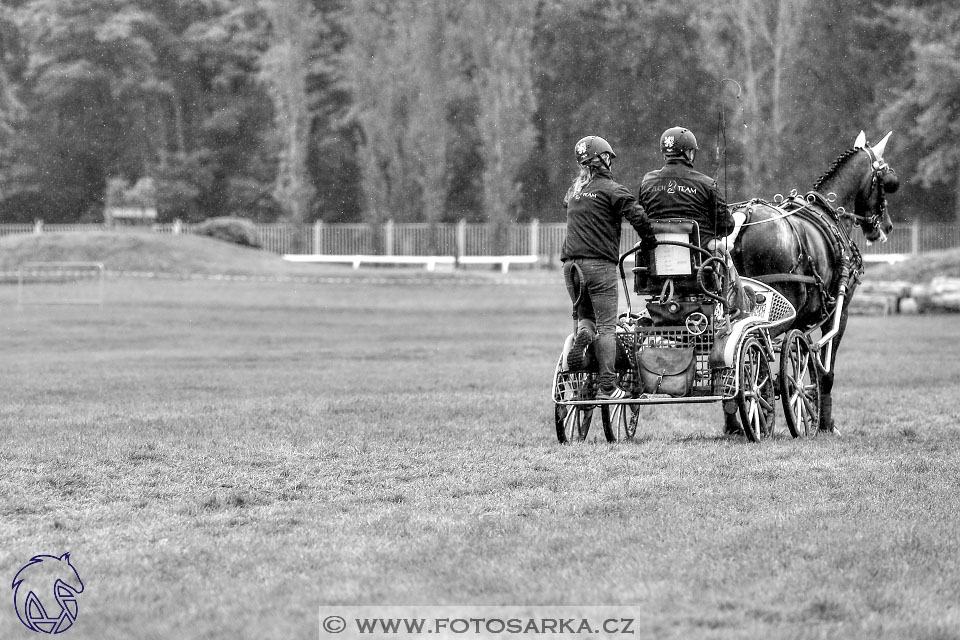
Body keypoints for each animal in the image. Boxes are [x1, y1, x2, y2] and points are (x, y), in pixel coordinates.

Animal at [728, 130, 900, 436]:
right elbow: (823, 371)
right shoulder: (839, 313)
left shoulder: (801, 321)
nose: (887, 226)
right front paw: (824, 422)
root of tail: (744, 215)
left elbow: (802, 359)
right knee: (751, 356)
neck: (830, 212)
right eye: (887, 181)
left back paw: (735, 421)